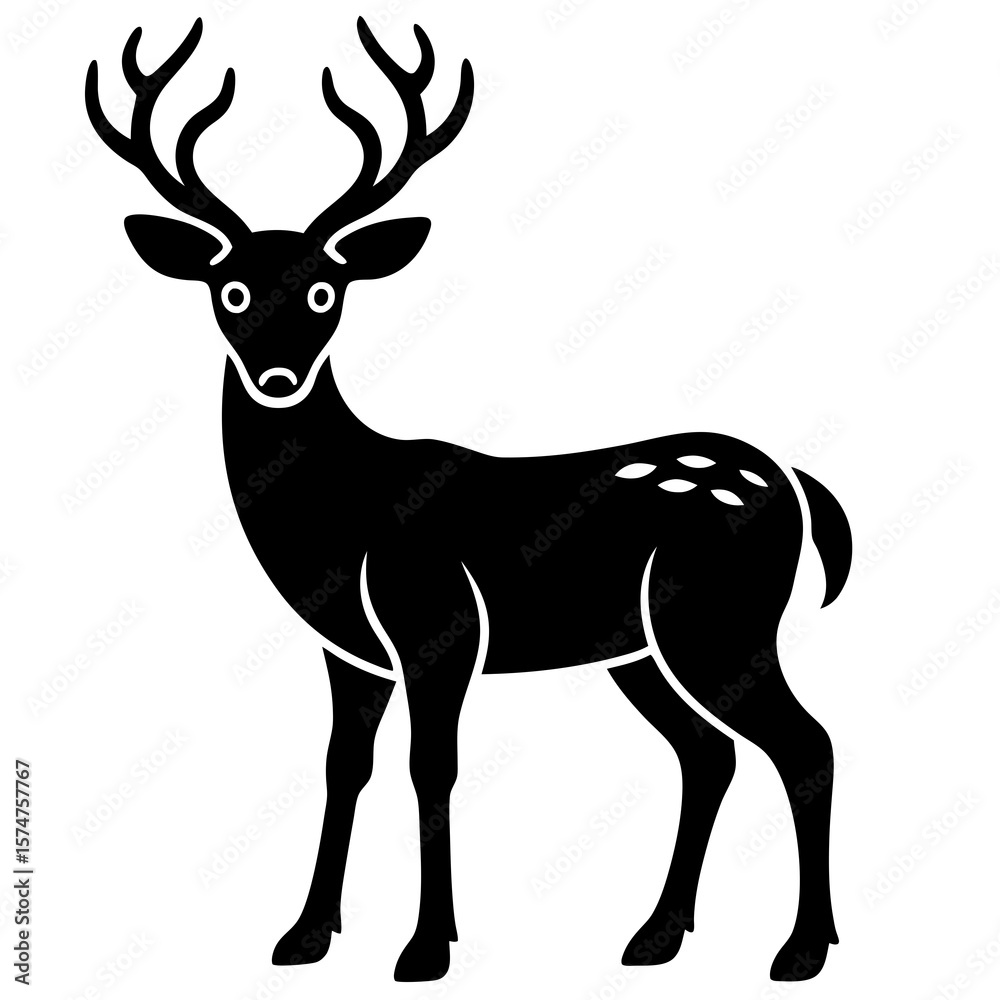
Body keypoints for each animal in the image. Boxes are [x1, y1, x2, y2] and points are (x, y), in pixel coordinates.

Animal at [86, 16, 852, 984]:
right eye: (231, 289)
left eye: (325, 290)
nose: (278, 376)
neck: (343, 514)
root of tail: (796, 486)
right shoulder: (349, 650)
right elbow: (344, 765)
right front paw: (305, 935)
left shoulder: (437, 619)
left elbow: (432, 766)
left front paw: (425, 948)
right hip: (643, 647)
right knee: (709, 752)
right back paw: (656, 936)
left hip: (723, 620)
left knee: (806, 743)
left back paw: (801, 948)